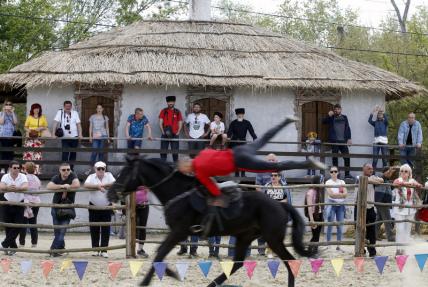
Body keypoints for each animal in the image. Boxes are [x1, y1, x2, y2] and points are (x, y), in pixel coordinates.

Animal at [108, 158, 316, 287]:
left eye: (125, 172)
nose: (111, 193)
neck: (179, 192)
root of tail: (280, 205)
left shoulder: (179, 232)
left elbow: (159, 254)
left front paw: (151, 280)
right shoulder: (177, 233)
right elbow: (159, 253)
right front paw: (171, 273)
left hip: (273, 239)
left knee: (290, 261)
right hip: (245, 236)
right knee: (237, 264)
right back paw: (211, 284)